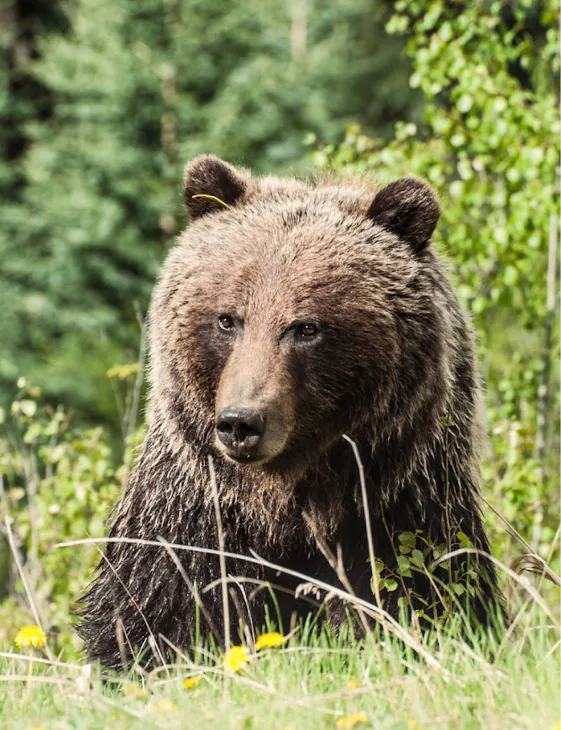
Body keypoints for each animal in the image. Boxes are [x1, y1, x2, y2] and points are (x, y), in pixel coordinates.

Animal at [76, 156, 500, 668]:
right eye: (227, 319)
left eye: (305, 328)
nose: (241, 423)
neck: (286, 501)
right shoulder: (194, 513)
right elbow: (159, 611)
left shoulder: (399, 506)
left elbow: (423, 594)